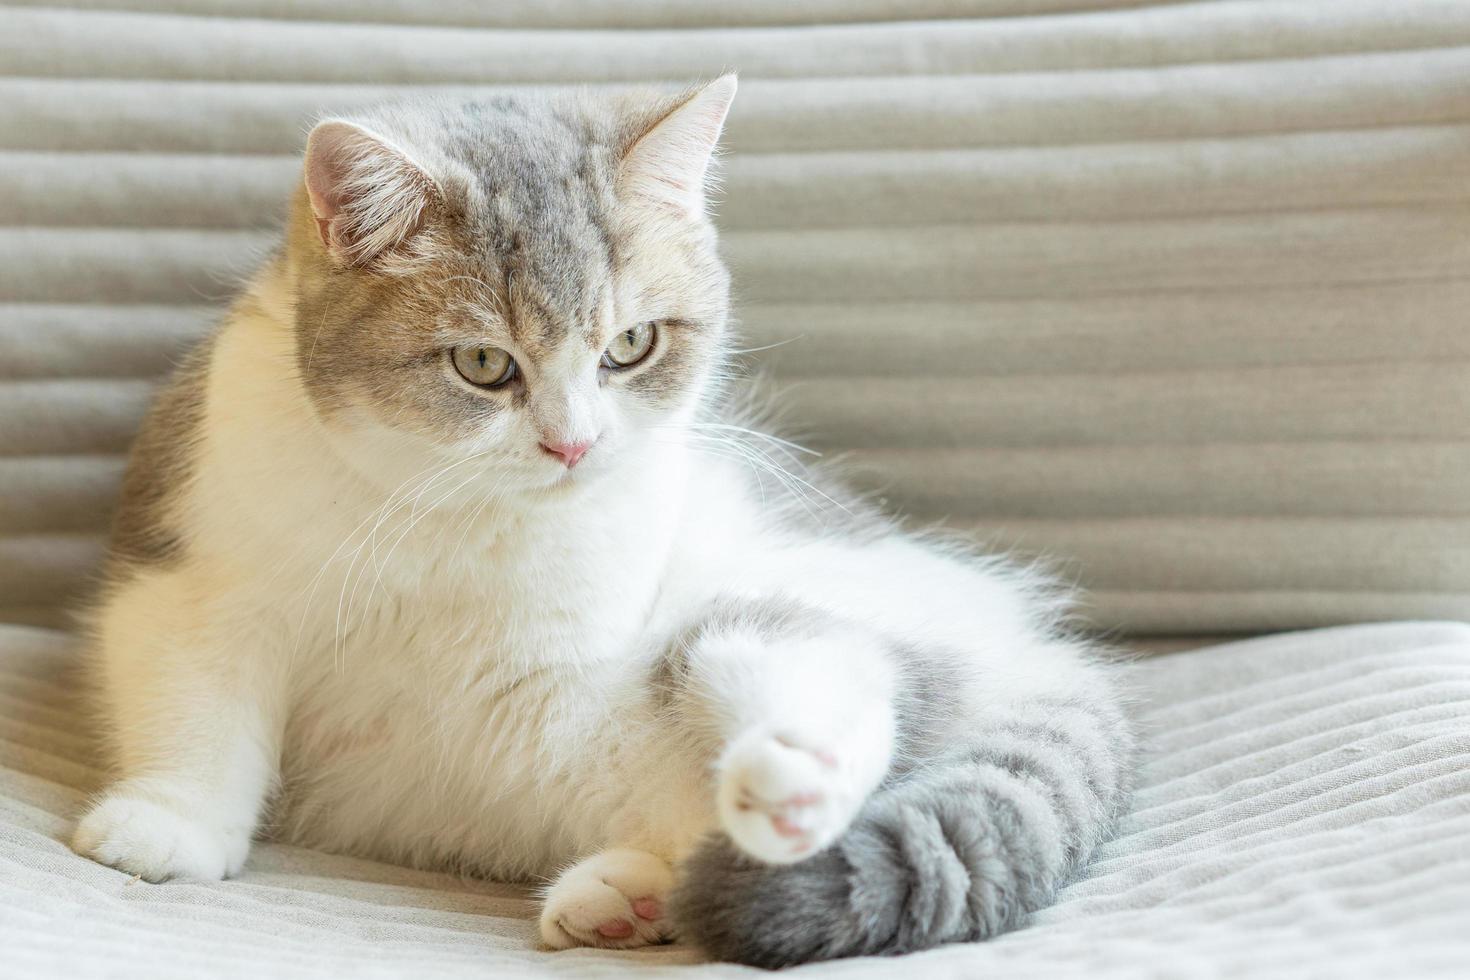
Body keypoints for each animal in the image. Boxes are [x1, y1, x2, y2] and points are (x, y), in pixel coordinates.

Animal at [71, 74, 1134, 963]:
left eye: (631, 345)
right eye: (484, 364)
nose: (574, 445)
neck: (428, 499)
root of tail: (1036, 652)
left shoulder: (568, 628)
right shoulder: (194, 576)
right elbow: (197, 708)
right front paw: (170, 823)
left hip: (755, 627)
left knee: (843, 673)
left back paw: (791, 787)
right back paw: (629, 897)